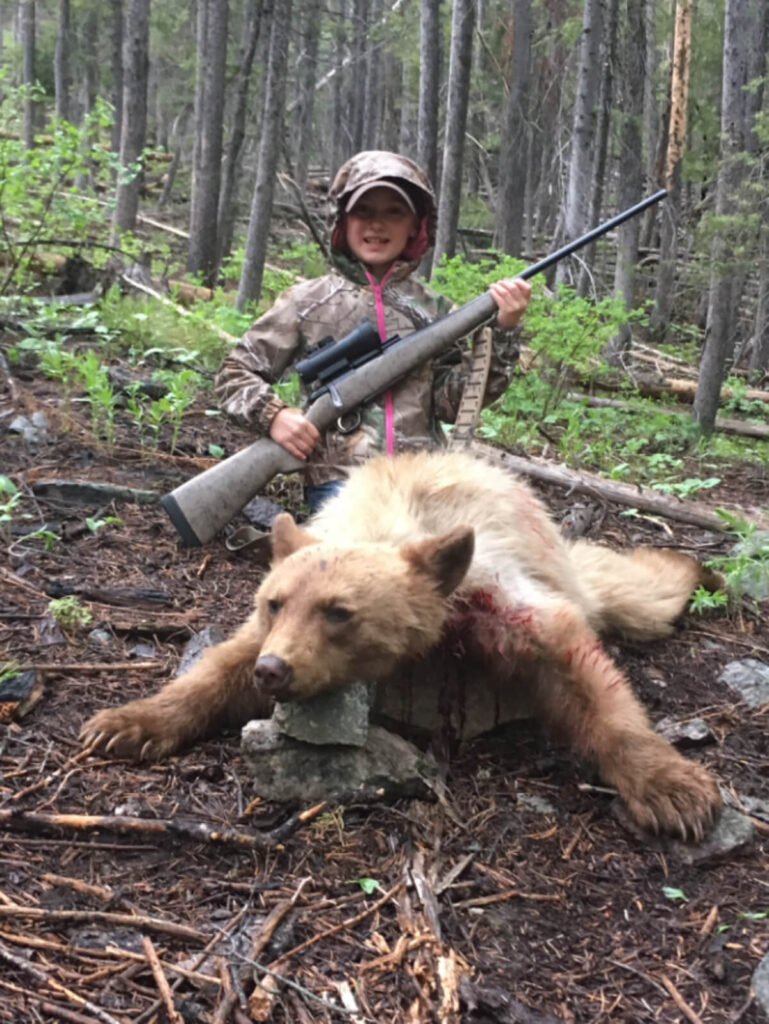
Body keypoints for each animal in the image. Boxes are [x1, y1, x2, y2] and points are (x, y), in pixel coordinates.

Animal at [81, 452, 724, 843]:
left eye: (339, 612)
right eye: (274, 603)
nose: (274, 671)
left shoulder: (498, 593)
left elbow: (580, 667)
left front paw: (674, 789)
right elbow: (218, 667)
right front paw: (125, 724)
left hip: (571, 570)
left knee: (635, 593)